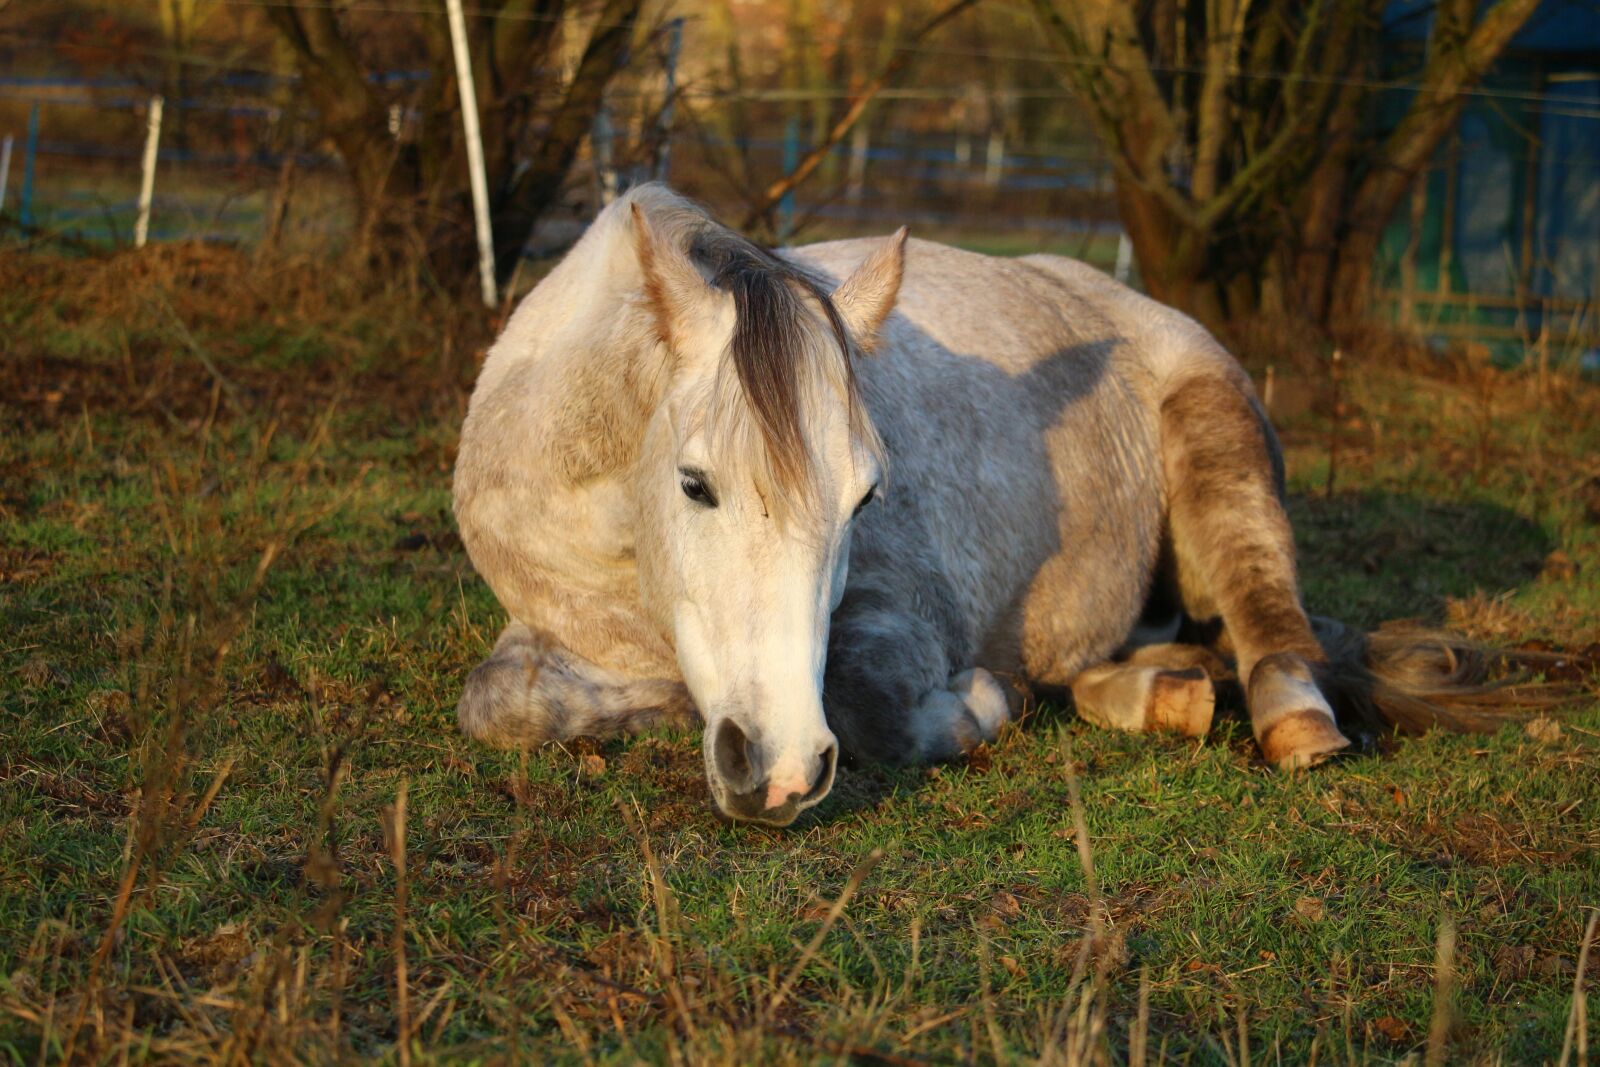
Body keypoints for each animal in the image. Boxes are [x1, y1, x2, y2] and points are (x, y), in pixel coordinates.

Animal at [452, 184, 1516, 827]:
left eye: (866, 499)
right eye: (693, 484)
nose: (782, 769)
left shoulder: (899, 618)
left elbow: (874, 704)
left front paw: (984, 702)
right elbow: (497, 704)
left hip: (1221, 453)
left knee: (1268, 617)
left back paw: (1291, 720)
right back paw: (1162, 691)